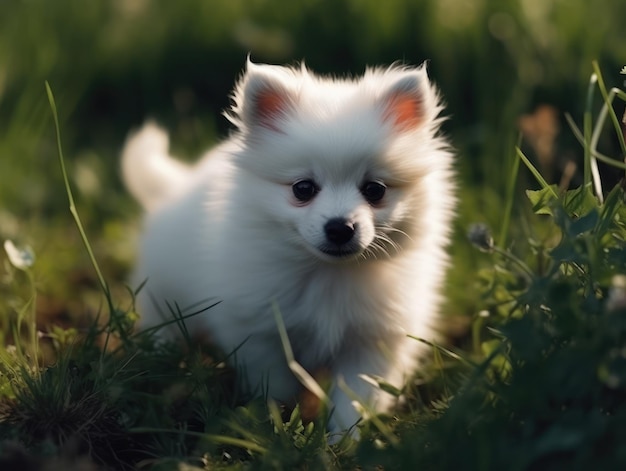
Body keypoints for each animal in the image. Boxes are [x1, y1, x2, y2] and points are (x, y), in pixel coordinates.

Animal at [120, 59, 454, 438]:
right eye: (303, 188)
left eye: (375, 190)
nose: (340, 228)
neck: (328, 275)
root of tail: (176, 187)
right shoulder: (258, 330)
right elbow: (274, 384)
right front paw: (276, 428)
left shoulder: (371, 341)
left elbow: (353, 397)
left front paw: (342, 441)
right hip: (163, 293)